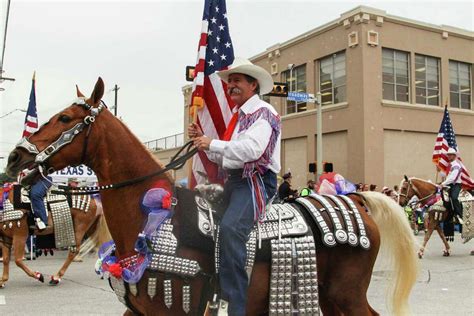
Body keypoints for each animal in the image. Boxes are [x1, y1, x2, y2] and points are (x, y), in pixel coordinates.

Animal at [5, 77, 416, 316]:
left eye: (64, 118)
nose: (15, 156)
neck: (153, 216)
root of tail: (357, 200)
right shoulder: (139, 312)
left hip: (347, 297)